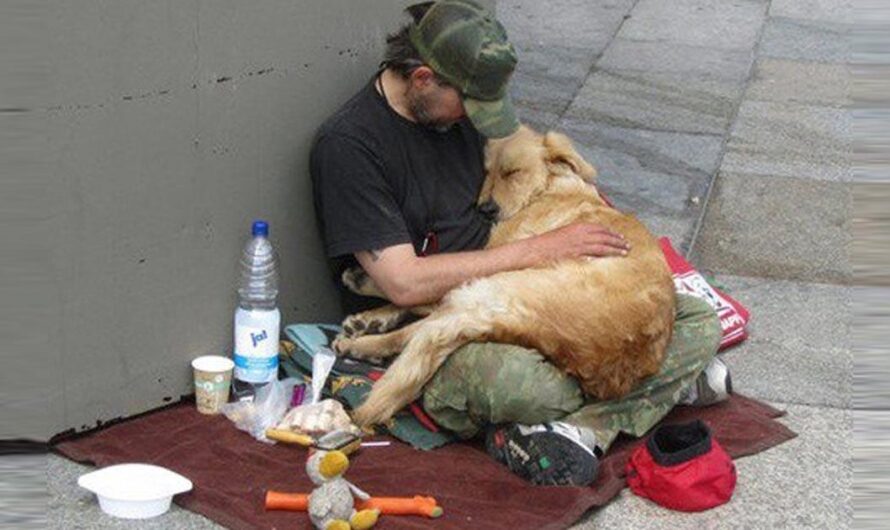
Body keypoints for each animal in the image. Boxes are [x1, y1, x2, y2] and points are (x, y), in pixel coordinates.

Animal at [332, 127, 672, 424]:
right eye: (487, 172)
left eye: (512, 173)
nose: (485, 209)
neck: (548, 186)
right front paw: (373, 315)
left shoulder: (496, 252)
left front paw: (369, 304)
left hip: (498, 285)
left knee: (419, 328)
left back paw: (358, 341)